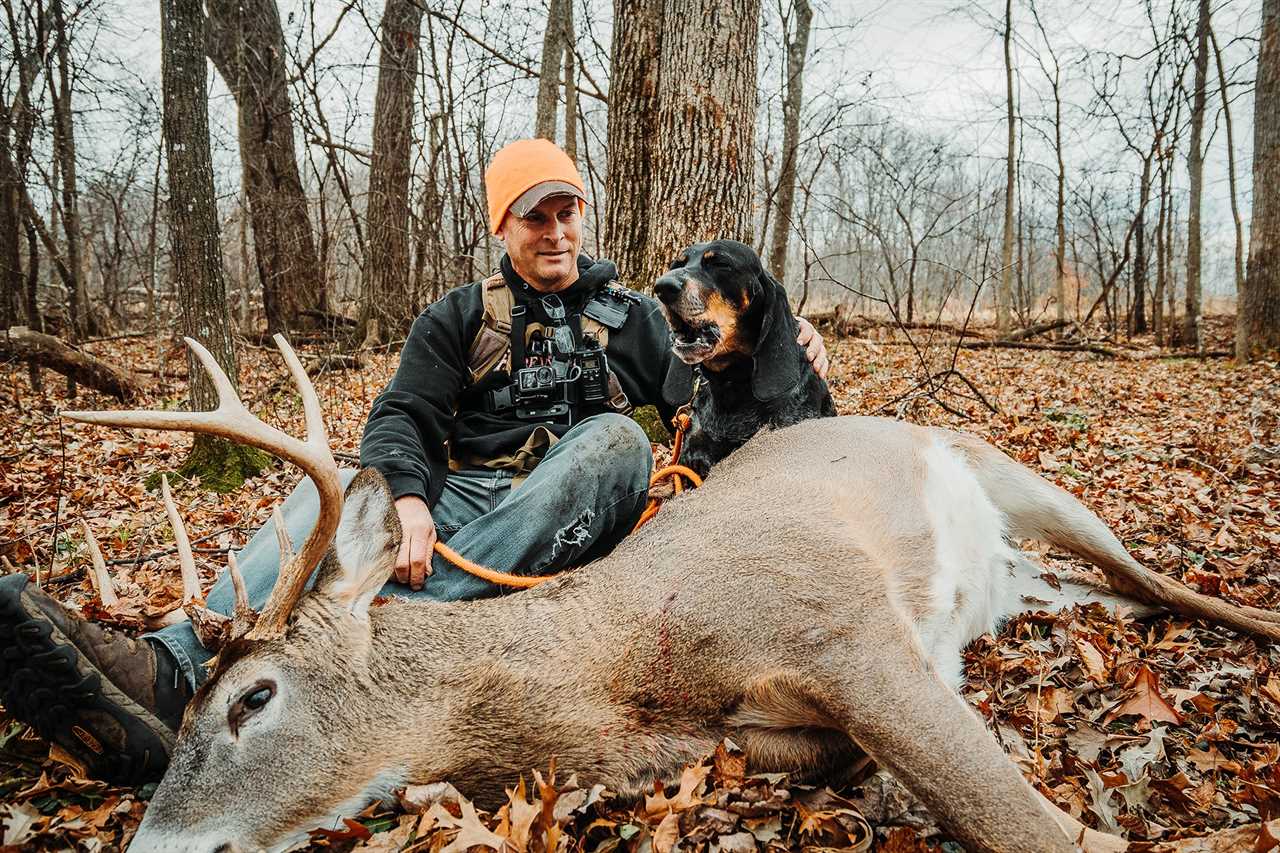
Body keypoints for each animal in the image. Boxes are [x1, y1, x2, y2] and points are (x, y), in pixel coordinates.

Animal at [62, 338, 1280, 850]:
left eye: (253, 697)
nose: (149, 847)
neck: (624, 663)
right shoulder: (756, 728)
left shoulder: (839, 624)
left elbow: (1028, 827)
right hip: (1029, 575)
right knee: (1105, 592)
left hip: (1016, 473)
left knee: (1157, 575)